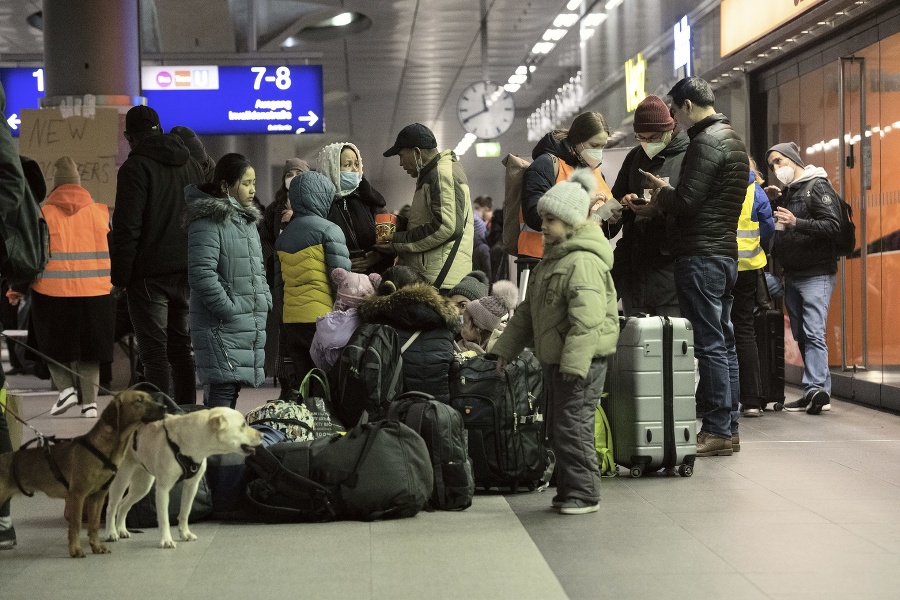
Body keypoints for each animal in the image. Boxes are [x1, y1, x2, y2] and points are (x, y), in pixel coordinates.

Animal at [0, 390, 165, 556]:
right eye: (139, 400)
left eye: (150, 398)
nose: (164, 407)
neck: (101, 449)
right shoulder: (78, 495)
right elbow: (76, 525)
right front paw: (75, 550)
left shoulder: (98, 497)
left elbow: (94, 525)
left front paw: (96, 547)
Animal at [106, 408, 262, 548]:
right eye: (243, 425)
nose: (261, 435)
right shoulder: (163, 489)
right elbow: (164, 518)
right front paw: (166, 540)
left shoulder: (191, 485)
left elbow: (185, 512)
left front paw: (185, 534)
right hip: (121, 479)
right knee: (112, 506)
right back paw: (111, 532)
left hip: (142, 485)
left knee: (123, 505)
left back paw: (121, 530)